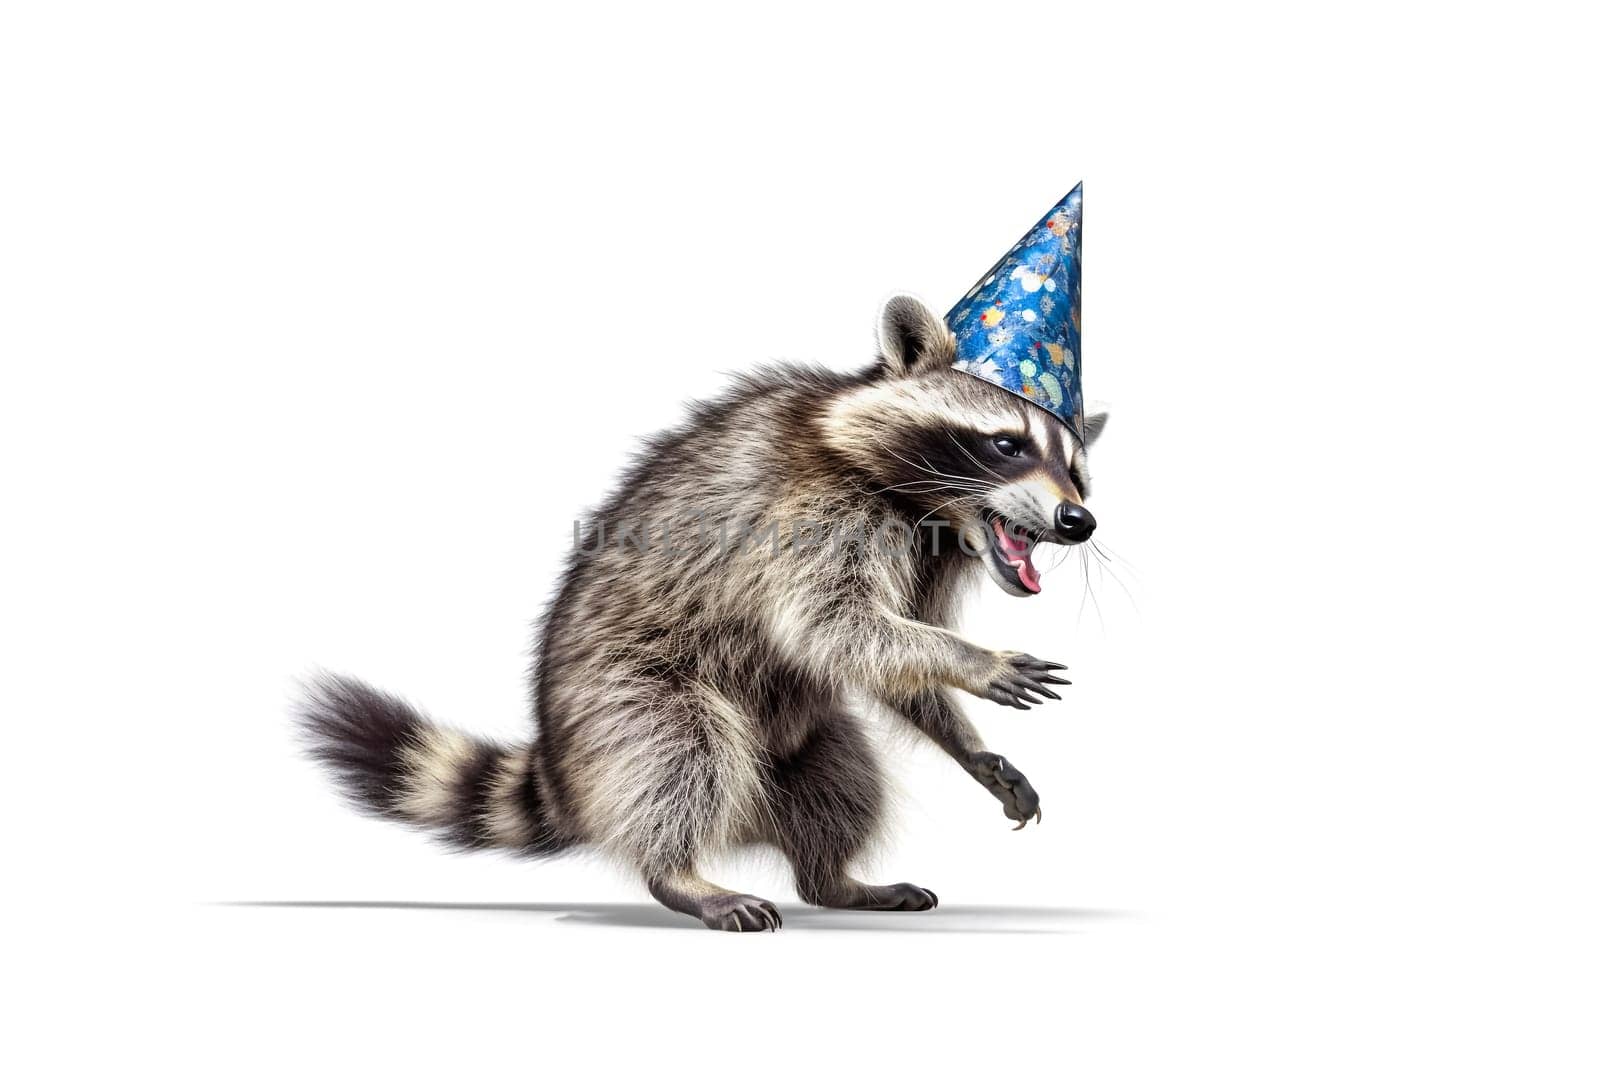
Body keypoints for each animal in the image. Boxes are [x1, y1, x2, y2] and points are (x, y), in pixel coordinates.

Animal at [297, 294, 1100, 934]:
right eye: (1006, 444)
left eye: (1077, 470)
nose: (1078, 521)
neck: (929, 512)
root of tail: (561, 770)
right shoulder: (810, 513)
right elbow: (834, 625)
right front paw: (976, 660)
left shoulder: (931, 561)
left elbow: (885, 663)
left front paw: (971, 744)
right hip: (623, 696)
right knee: (679, 754)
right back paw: (678, 873)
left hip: (798, 739)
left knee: (844, 779)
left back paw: (833, 878)